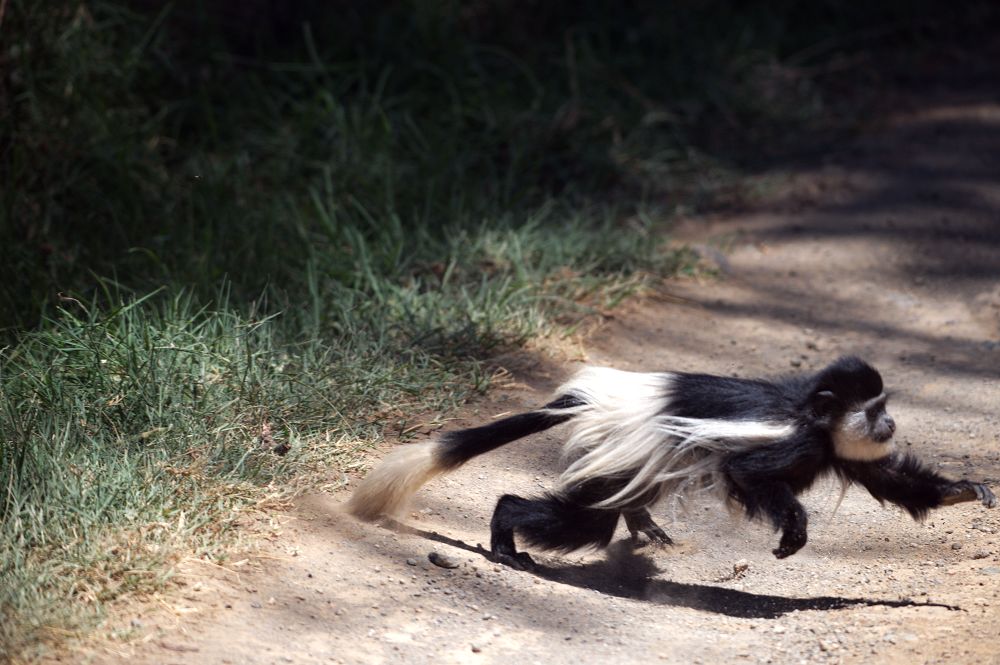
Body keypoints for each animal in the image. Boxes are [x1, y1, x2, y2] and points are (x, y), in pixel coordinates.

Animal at [348, 356, 996, 568]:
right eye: (876, 409)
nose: (890, 426)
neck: (813, 417)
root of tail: (603, 398)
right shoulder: (798, 443)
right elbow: (750, 475)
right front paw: (792, 534)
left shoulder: (844, 449)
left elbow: (895, 481)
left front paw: (964, 490)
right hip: (625, 445)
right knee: (582, 519)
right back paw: (506, 538)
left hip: (634, 453)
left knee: (614, 504)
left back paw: (643, 525)